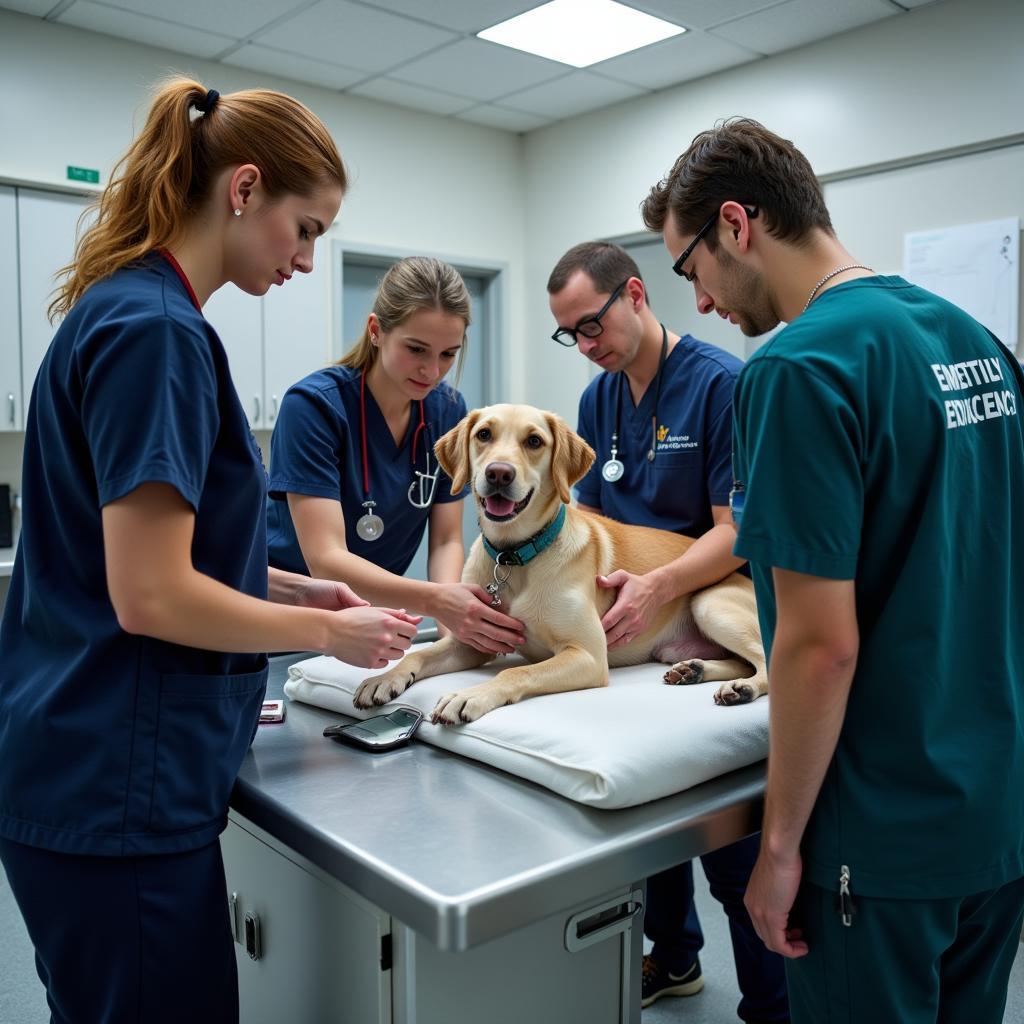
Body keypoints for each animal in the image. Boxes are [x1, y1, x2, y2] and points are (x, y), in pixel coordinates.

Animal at [356, 403, 765, 724]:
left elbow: (516, 672)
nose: (498, 473)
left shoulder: (587, 656)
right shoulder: (475, 641)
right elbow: (421, 654)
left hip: (710, 603)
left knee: (763, 663)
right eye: (484, 434)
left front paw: (471, 695)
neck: (514, 554)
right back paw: (694, 670)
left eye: (534, 441)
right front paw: (384, 678)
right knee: (741, 660)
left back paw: (742, 688)